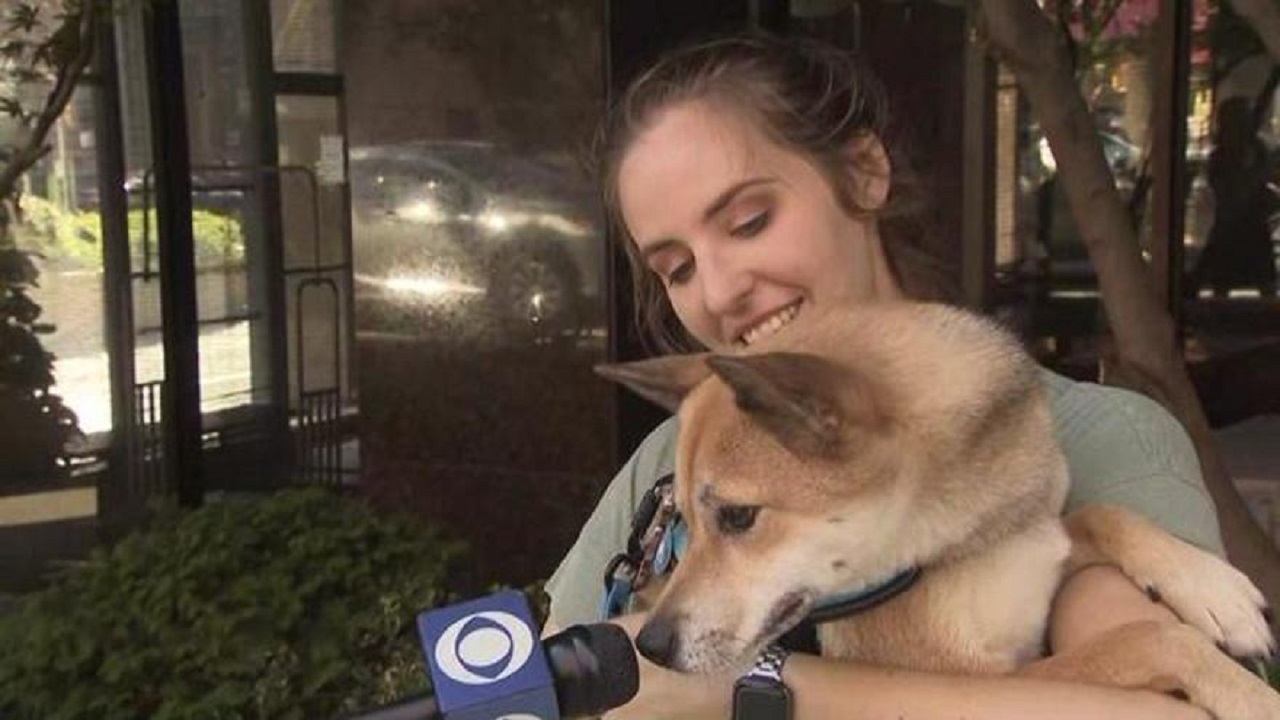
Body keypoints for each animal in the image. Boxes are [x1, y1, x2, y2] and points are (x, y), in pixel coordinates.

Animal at [599, 301, 1280, 717]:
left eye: (738, 517)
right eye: (683, 522)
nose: (649, 645)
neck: (954, 549)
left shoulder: (1037, 545)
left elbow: (1102, 515)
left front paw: (1213, 588)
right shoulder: (980, 681)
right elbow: (1149, 637)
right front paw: (1253, 697)